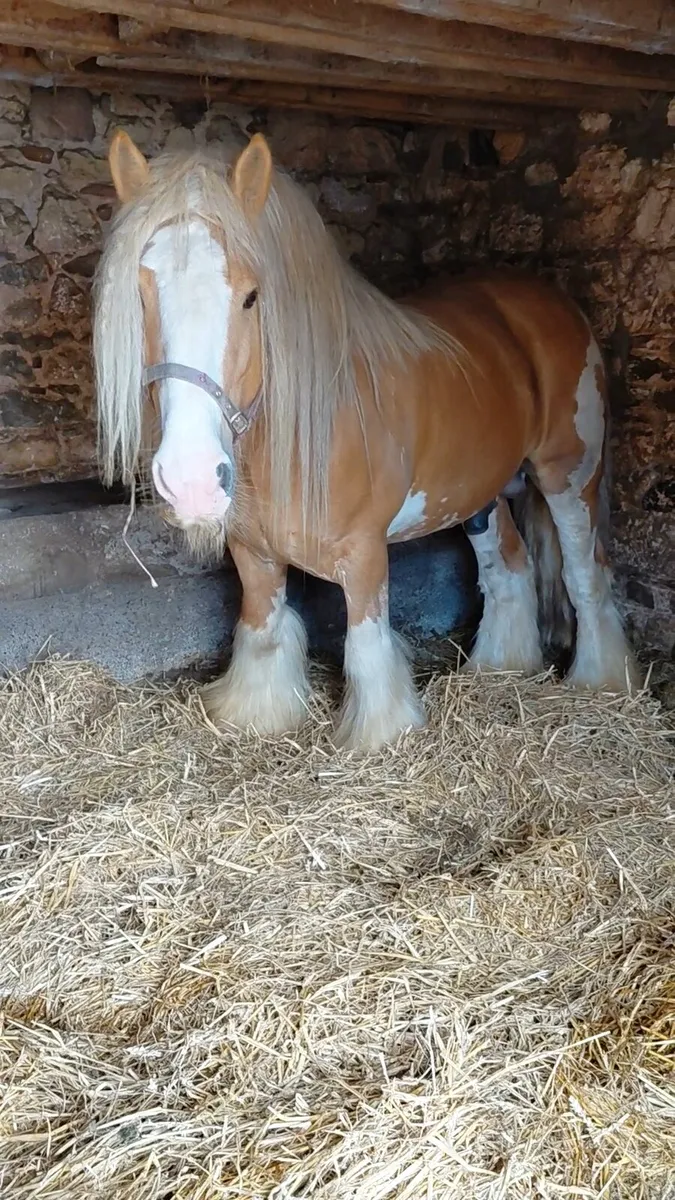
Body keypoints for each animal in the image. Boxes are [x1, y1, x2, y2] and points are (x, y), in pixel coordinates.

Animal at [94, 129, 640, 751]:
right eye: (141, 294)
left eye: (252, 297)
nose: (191, 481)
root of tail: (555, 302)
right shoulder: (253, 555)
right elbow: (261, 633)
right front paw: (257, 715)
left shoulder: (364, 553)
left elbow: (367, 649)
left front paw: (382, 737)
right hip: (474, 494)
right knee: (509, 565)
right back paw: (499, 668)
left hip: (568, 474)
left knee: (584, 573)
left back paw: (601, 681)